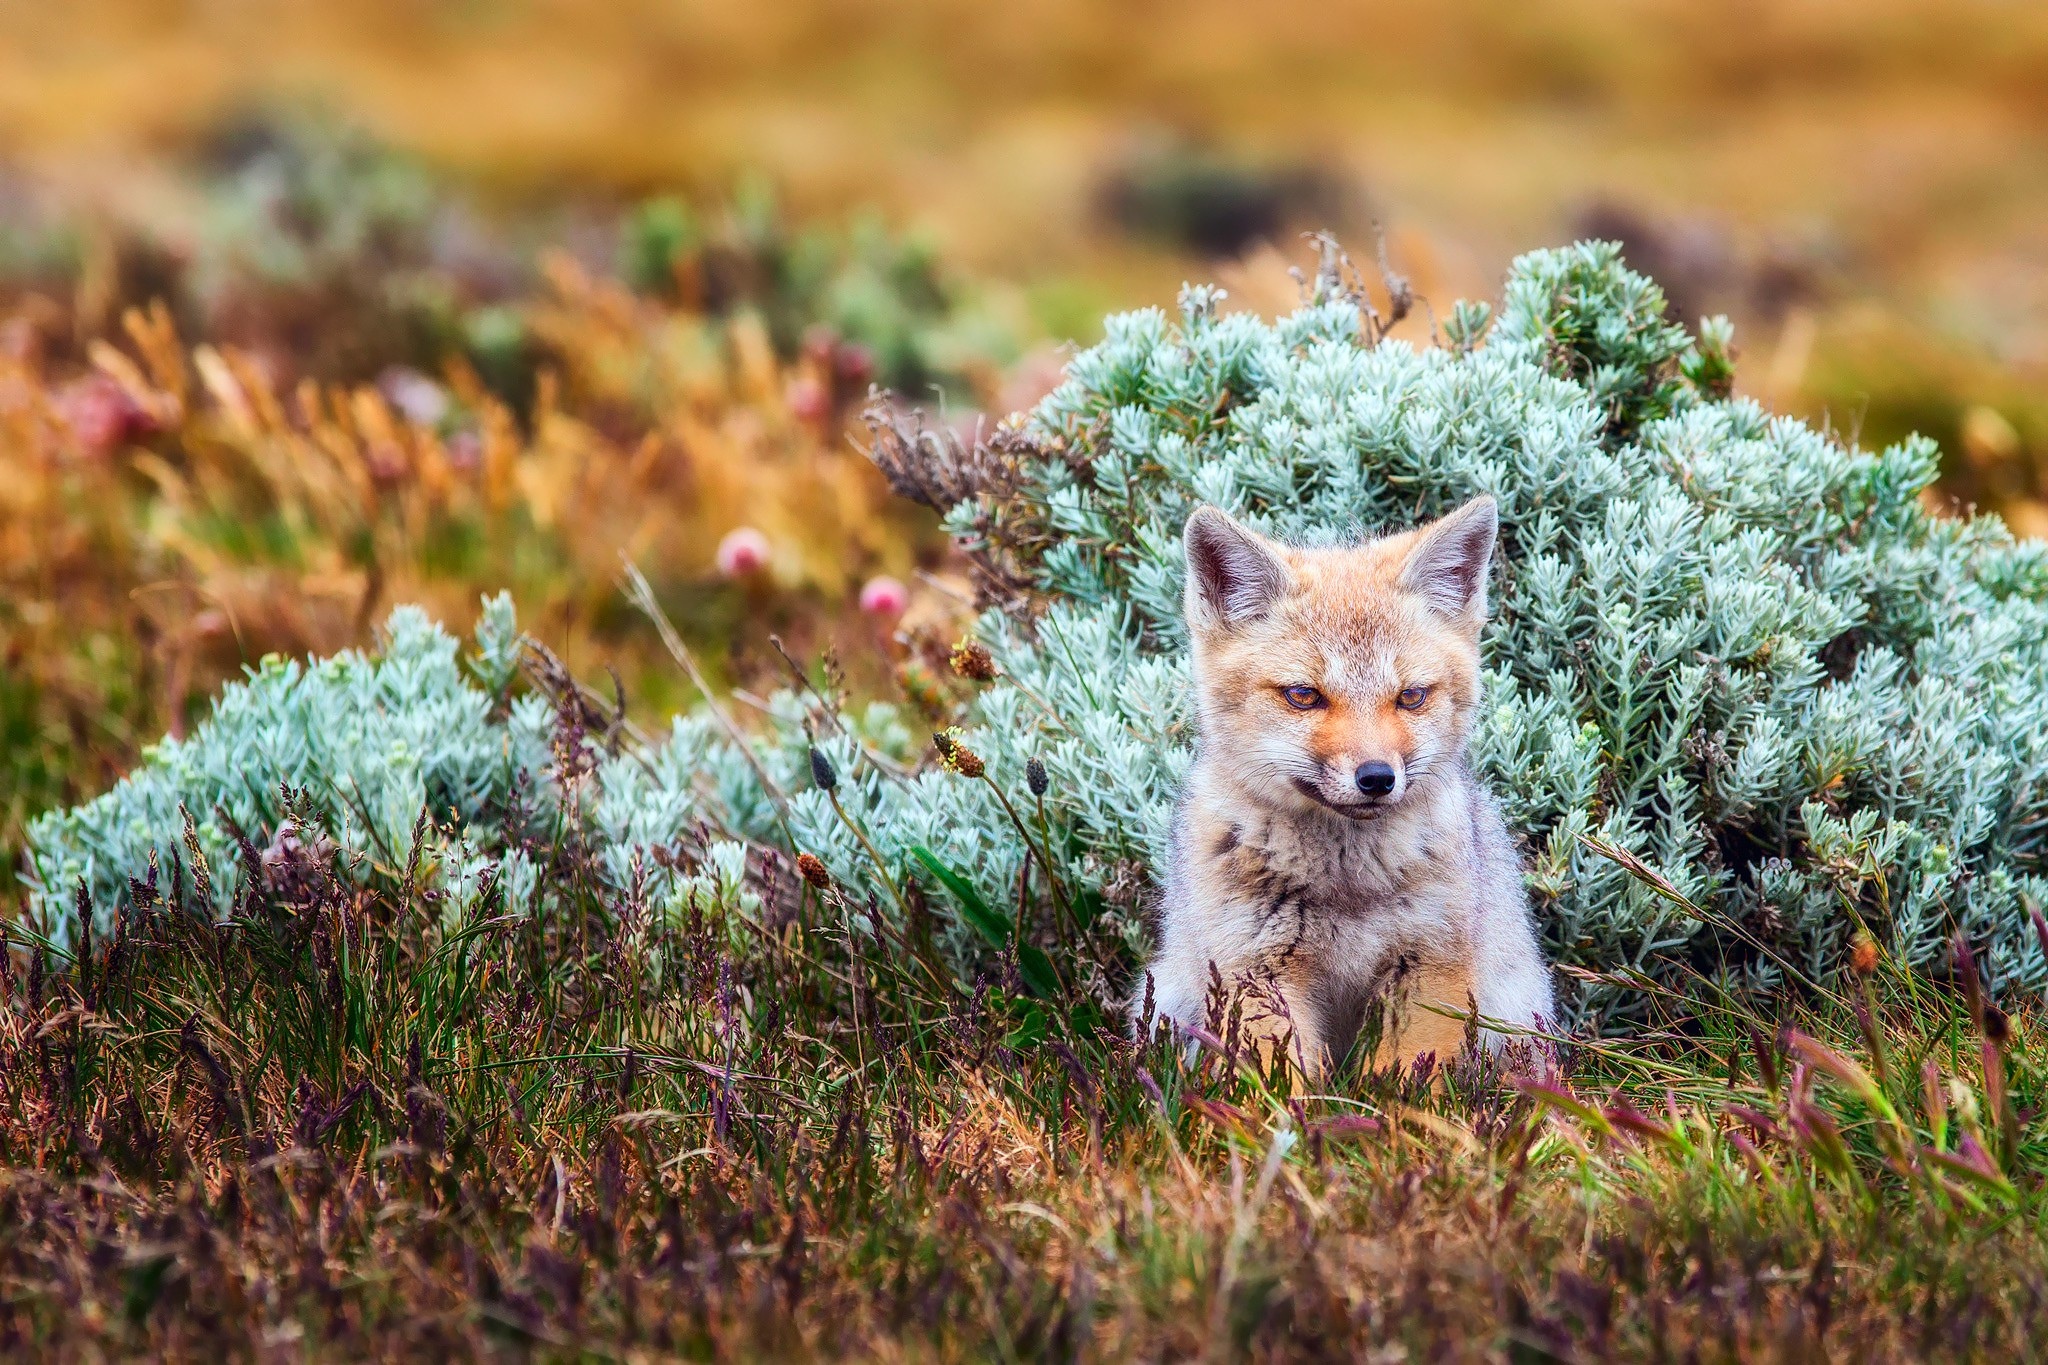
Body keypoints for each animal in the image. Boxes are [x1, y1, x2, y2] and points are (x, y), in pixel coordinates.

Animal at [1155, 497, 1548, 1080]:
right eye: (1303, 695)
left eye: (1411, 696)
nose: (1378, 778)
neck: (1346, 887)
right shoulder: (1256, 971)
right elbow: (1282, 1087)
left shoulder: (1428, 969)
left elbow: (1406, 1085)